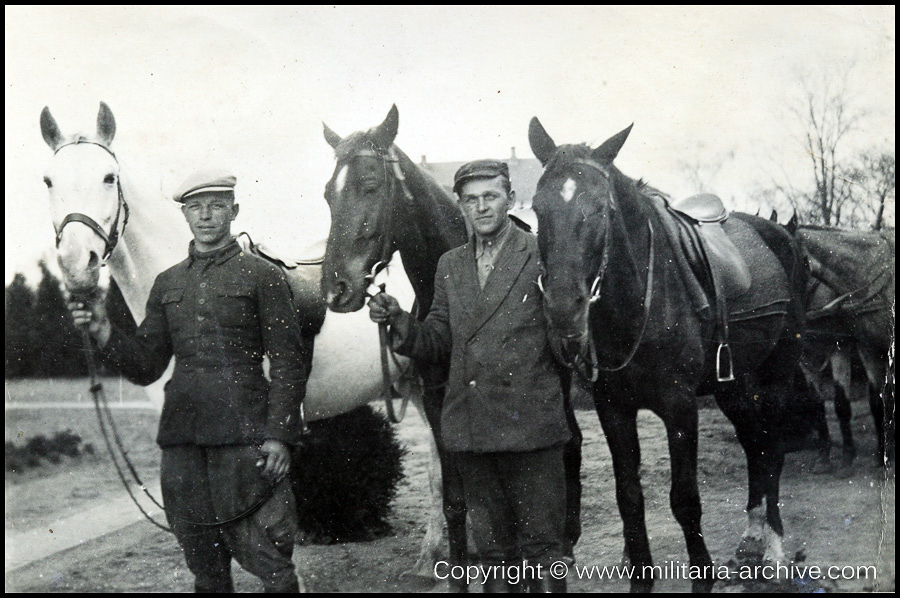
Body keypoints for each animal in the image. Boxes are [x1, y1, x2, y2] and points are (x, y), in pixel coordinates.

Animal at [528, 119, 816, 592]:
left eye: (603, 210)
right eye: (537, 209)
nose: (563, 312)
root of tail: (782, 236)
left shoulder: (680, 406)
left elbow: (684, 499)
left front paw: (703, 576)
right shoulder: (614, 409)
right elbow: (629, 496)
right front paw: (640, 578)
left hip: (777, 373)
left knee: (771, 448)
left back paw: (773, 548)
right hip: (734, 386)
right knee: (753, 443)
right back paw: (752, 535)